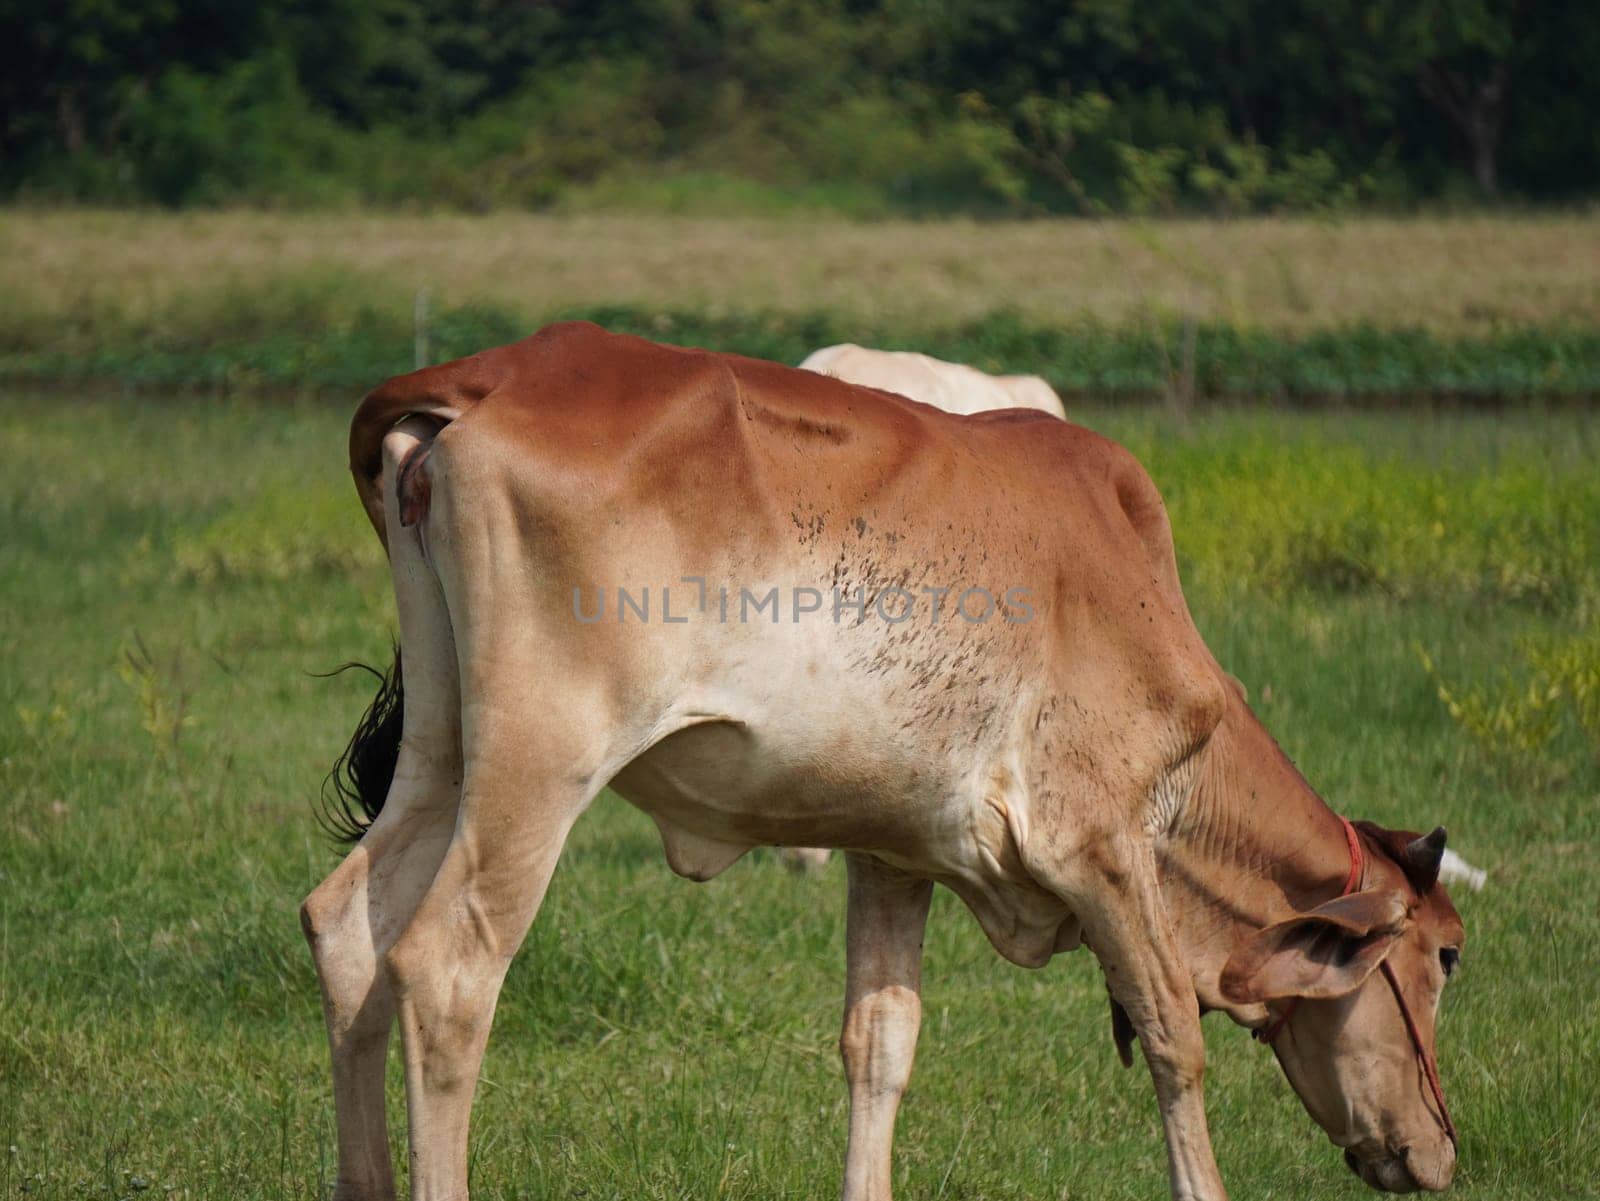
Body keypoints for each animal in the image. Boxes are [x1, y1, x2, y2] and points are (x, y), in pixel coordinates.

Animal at [300, 324, 1465, 1201]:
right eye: (1448, 957)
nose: (1443, 1151)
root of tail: (492, 373)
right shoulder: (1096, 841)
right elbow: (1176, 1036)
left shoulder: (895, 851)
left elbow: (879, 1043)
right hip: (539, 764)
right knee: (447, 967)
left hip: (446, 749)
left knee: (347, 923)